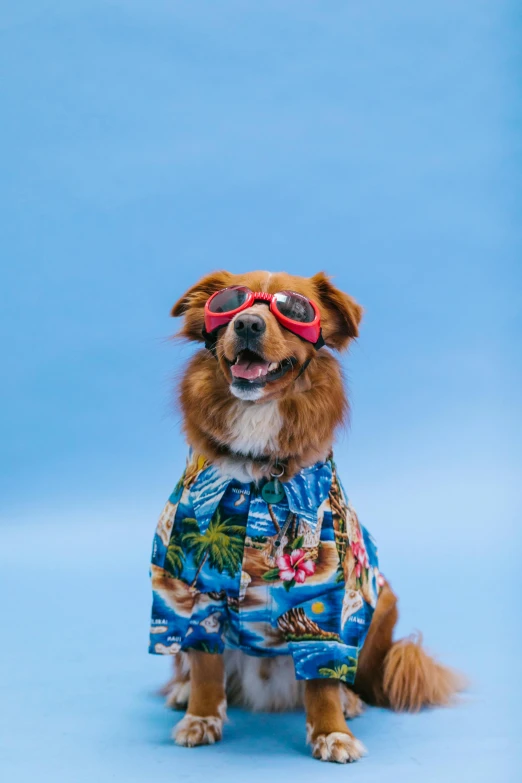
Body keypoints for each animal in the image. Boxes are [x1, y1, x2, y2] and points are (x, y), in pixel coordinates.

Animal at [148, 272, 462, 764]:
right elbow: (204, 664)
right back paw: (182, 692)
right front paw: (200, 716)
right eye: (230, 302)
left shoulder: (331, 592)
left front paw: (331, 732)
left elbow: (321, 680)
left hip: (382, 601)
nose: (248, 324)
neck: (259, 468)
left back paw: (350, 700)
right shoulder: (185, 586)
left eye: (294, 310)